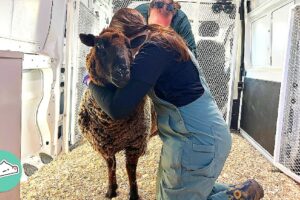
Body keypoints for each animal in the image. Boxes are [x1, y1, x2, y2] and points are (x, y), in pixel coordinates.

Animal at [77, 27, 157, 200]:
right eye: (99, 45)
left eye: (129, 46)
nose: (123, 71)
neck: (112, 125)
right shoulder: (103, 145)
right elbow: (111, 166)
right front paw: (111, 190)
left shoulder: (135, 143)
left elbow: (130, 170)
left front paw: (133, 194)